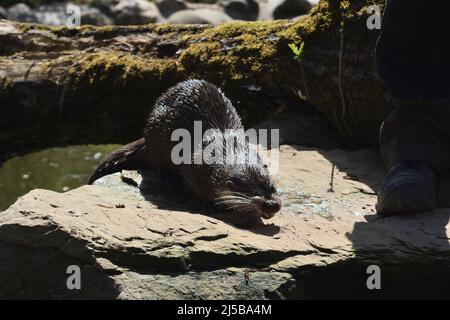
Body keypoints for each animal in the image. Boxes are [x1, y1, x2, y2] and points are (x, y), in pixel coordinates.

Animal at [89, 79, 282, 226]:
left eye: (272, 187)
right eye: (251, 191)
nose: (272, 205)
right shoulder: (193, 168)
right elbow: (196, 187)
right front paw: (211, 204)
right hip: (156, 133)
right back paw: (168, 178)